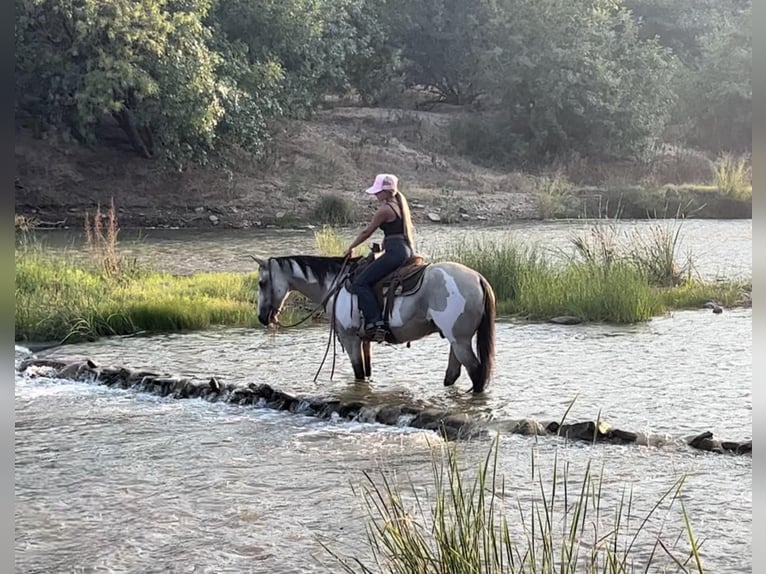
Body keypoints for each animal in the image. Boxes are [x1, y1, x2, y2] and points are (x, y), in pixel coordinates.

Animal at [252, 254, 498, 394]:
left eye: (261, 283)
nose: (262, 317)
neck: (335, 285)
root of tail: (478, 278)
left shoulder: (350, 339)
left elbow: (359, 373)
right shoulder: (364, 341)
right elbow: (367, 371)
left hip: (460, 341)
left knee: (476, 373)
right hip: (456, 341)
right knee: (453, 374)